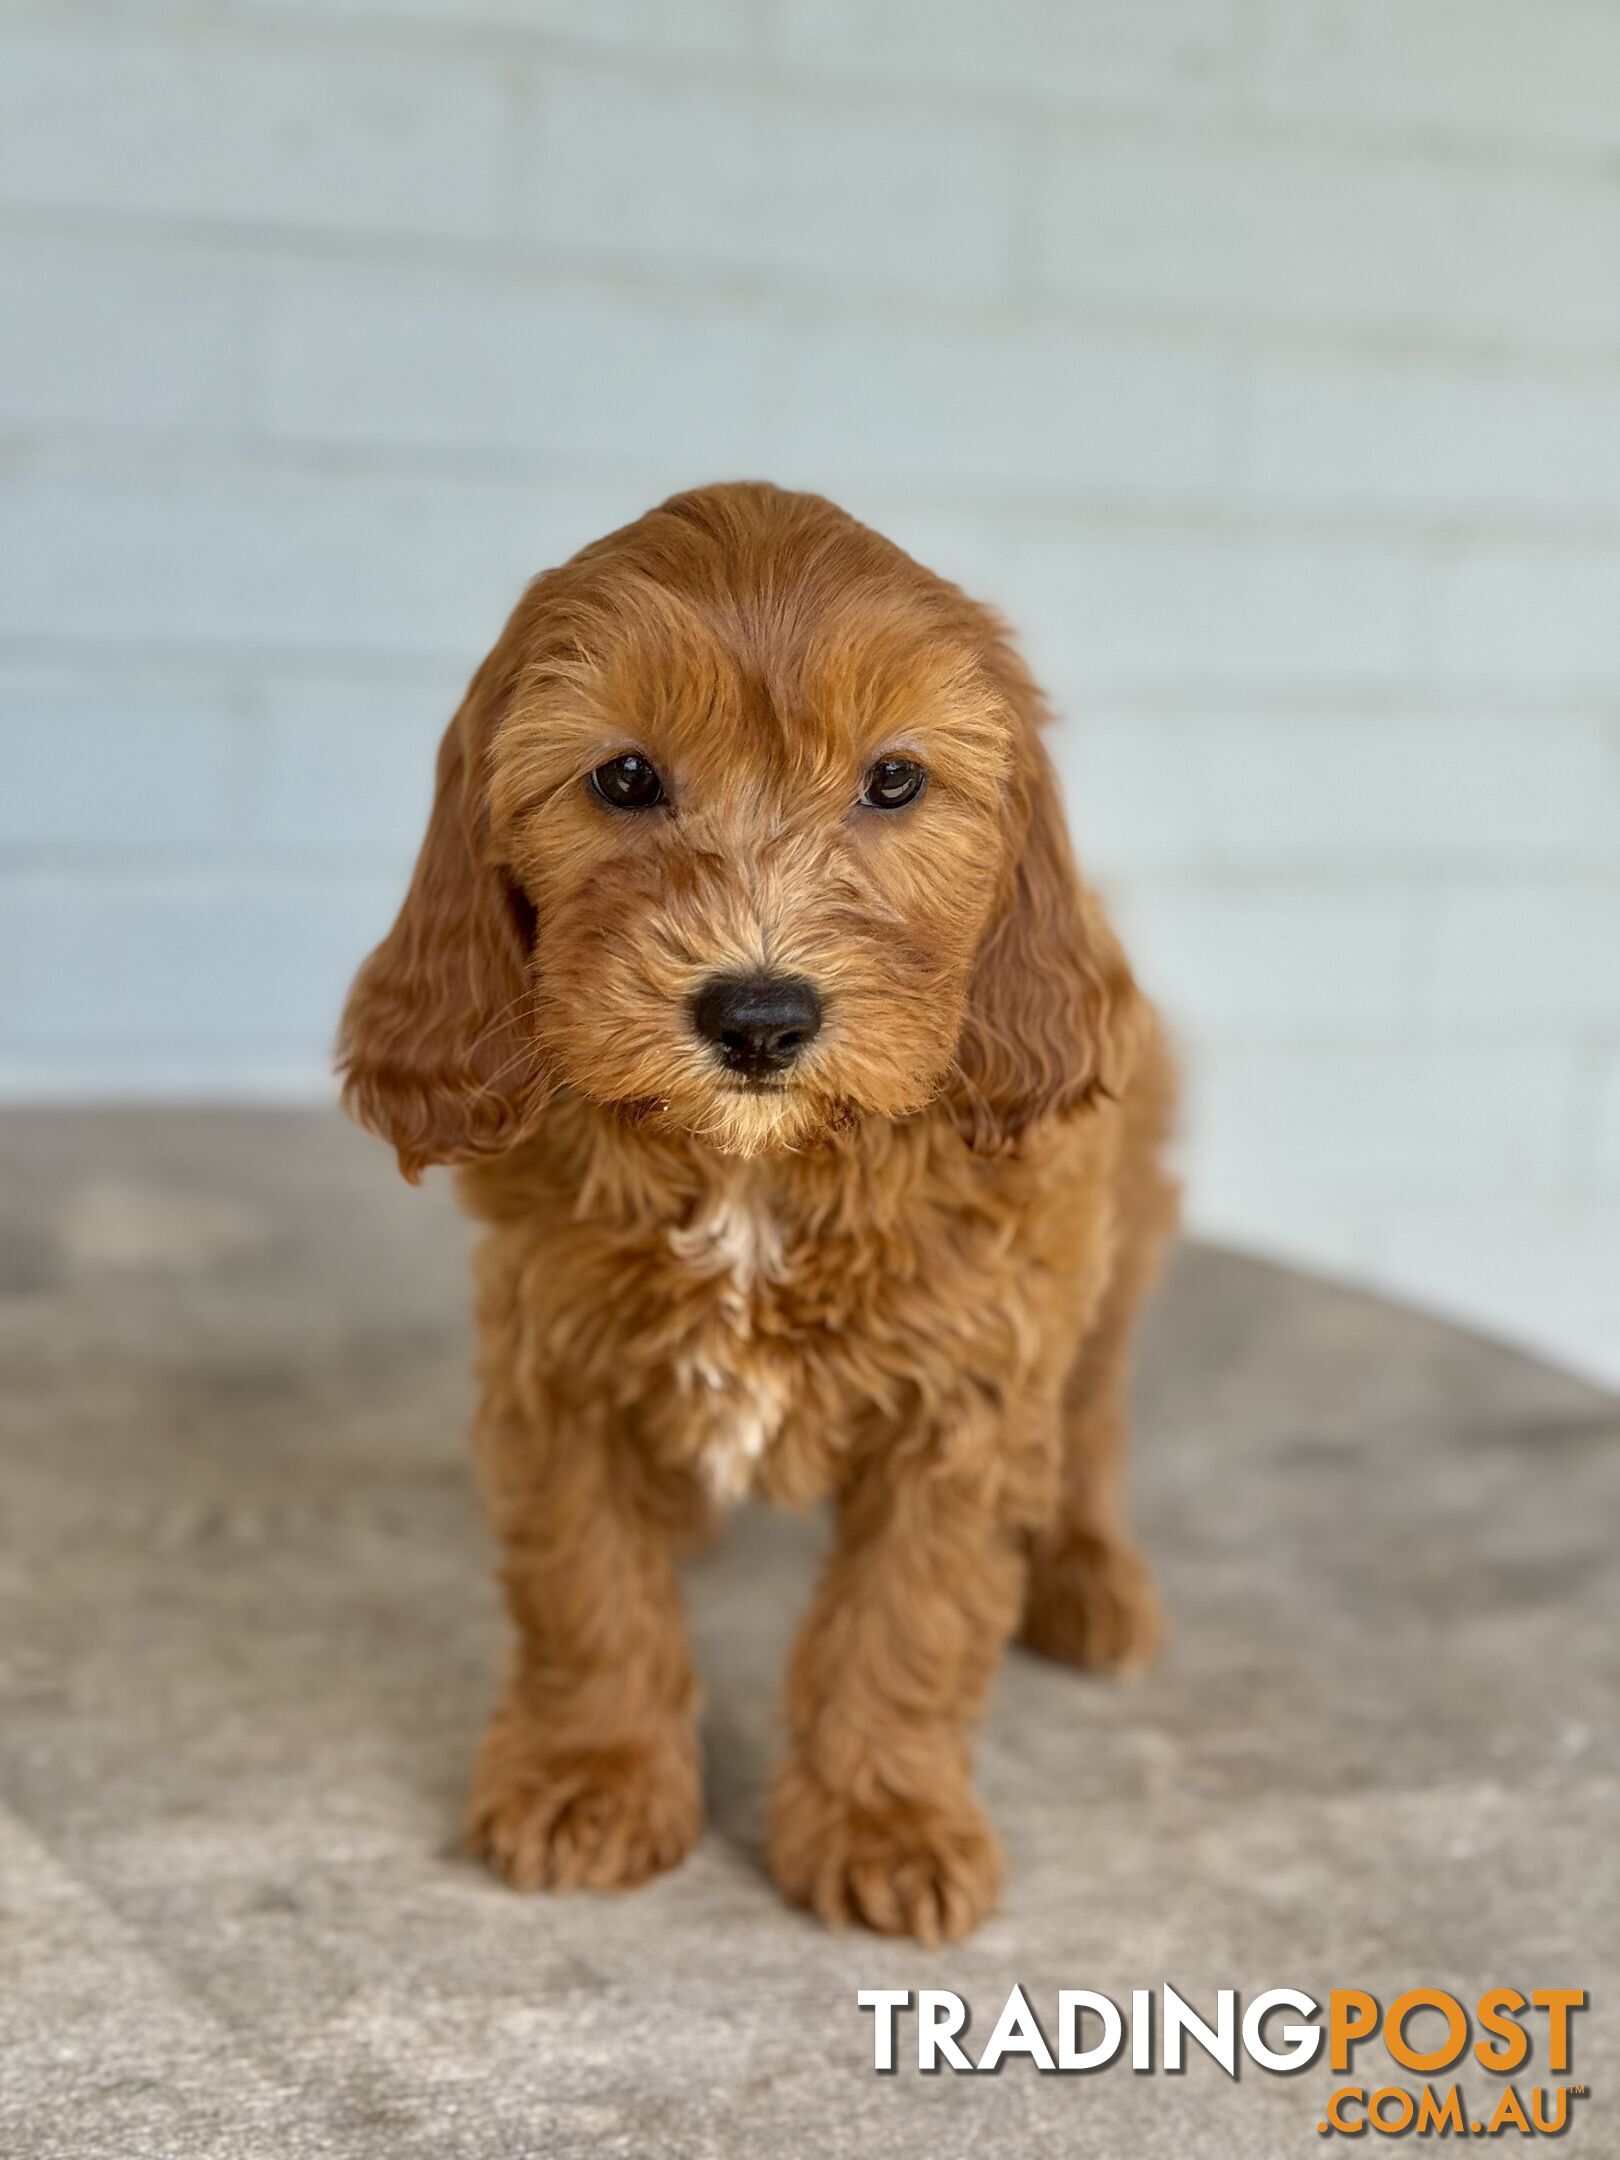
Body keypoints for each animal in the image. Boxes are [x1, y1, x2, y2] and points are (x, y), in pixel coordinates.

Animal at [343, 486, 1183, 1944]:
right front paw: (592, 1775)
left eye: (894, 782)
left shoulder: (970, 1392)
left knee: (1091, 1419)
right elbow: (585, 1584)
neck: (760, 1175)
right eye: (625, 778)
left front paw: (886, 1819)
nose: (758, 1016)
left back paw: (1086, 1573)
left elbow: (908, 1620)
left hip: (1110, 1250)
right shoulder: (555, 1357)